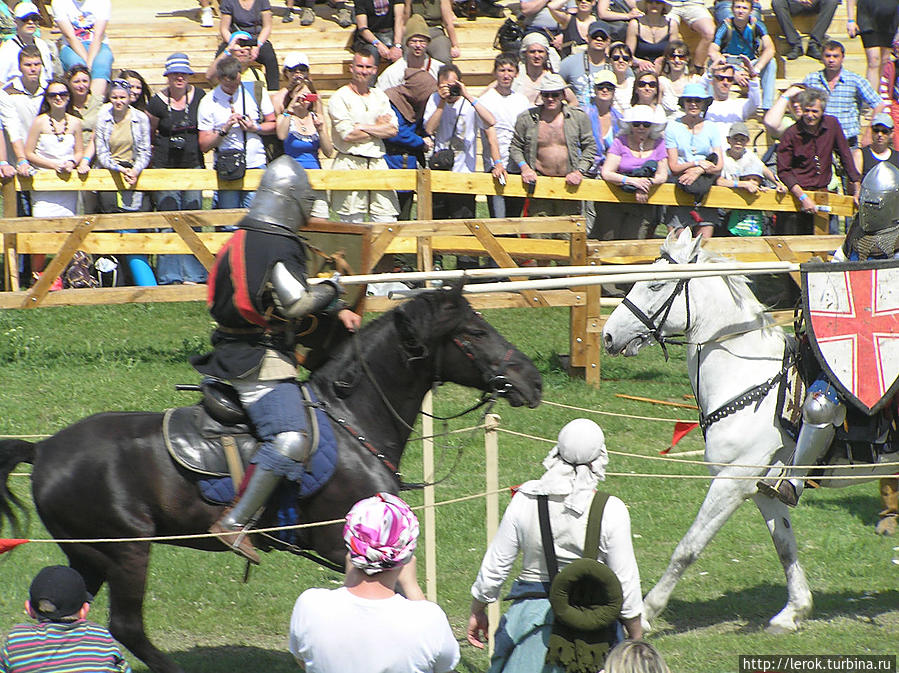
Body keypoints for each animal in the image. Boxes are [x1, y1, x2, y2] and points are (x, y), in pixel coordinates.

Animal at [0, 288, 540, 672]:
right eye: (472, 332)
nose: (531, 380)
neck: (353, 420)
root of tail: (45, 449)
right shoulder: (340, 546)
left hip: (88, 555)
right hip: (126, 551)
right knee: (127, 625)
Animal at [596, 228, 899, 632]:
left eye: (657, 285)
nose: (608, 336)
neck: (746, 376)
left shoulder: (731, 482)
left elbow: (688, 548)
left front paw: (645, 614)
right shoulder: (762, 487)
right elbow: (785, 546)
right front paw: (794, 610)